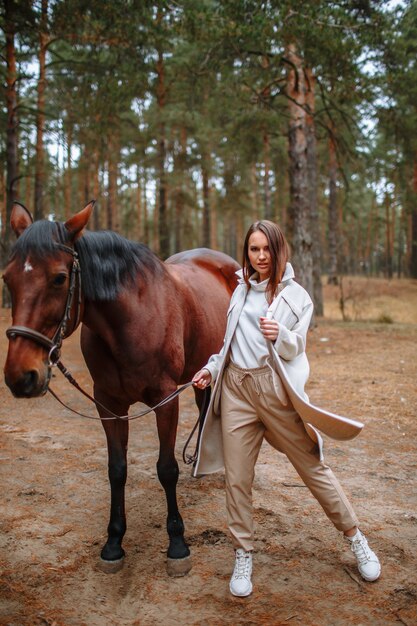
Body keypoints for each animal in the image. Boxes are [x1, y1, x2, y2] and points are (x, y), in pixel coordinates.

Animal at [2, 201, 237, 576]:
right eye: (7, 278)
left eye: (59, 278)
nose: (21, 376)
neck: (131, 321)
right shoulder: (108, 404)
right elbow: (117, 470)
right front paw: (113, 543)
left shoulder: (165, 399)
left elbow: (166, 468)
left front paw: (177, 544)